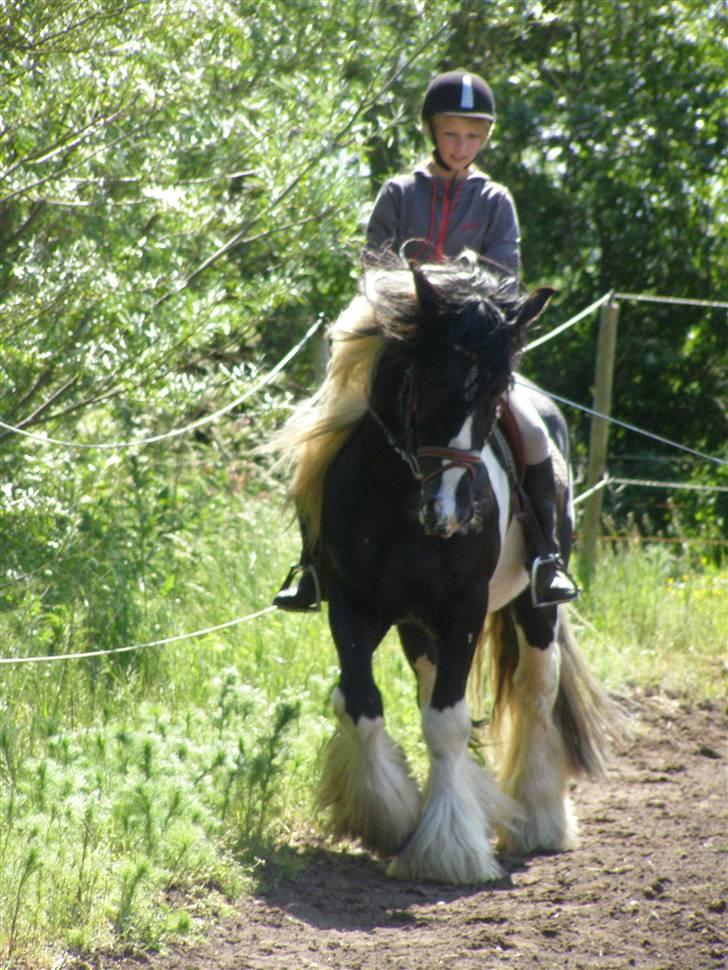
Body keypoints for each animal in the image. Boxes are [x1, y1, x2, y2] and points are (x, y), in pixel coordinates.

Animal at [276, 258, 616, 884]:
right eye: (429, 381)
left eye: (495, 397)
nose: (451, 513)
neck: (400, 500)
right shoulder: (353, 606)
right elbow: (360, 704)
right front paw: (386, 816)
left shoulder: (463, 610)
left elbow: (449, 723)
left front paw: (449, 849)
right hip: (417, 626)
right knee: (431, 688)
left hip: (535, 610)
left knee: (536, 692)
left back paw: (539, 820)